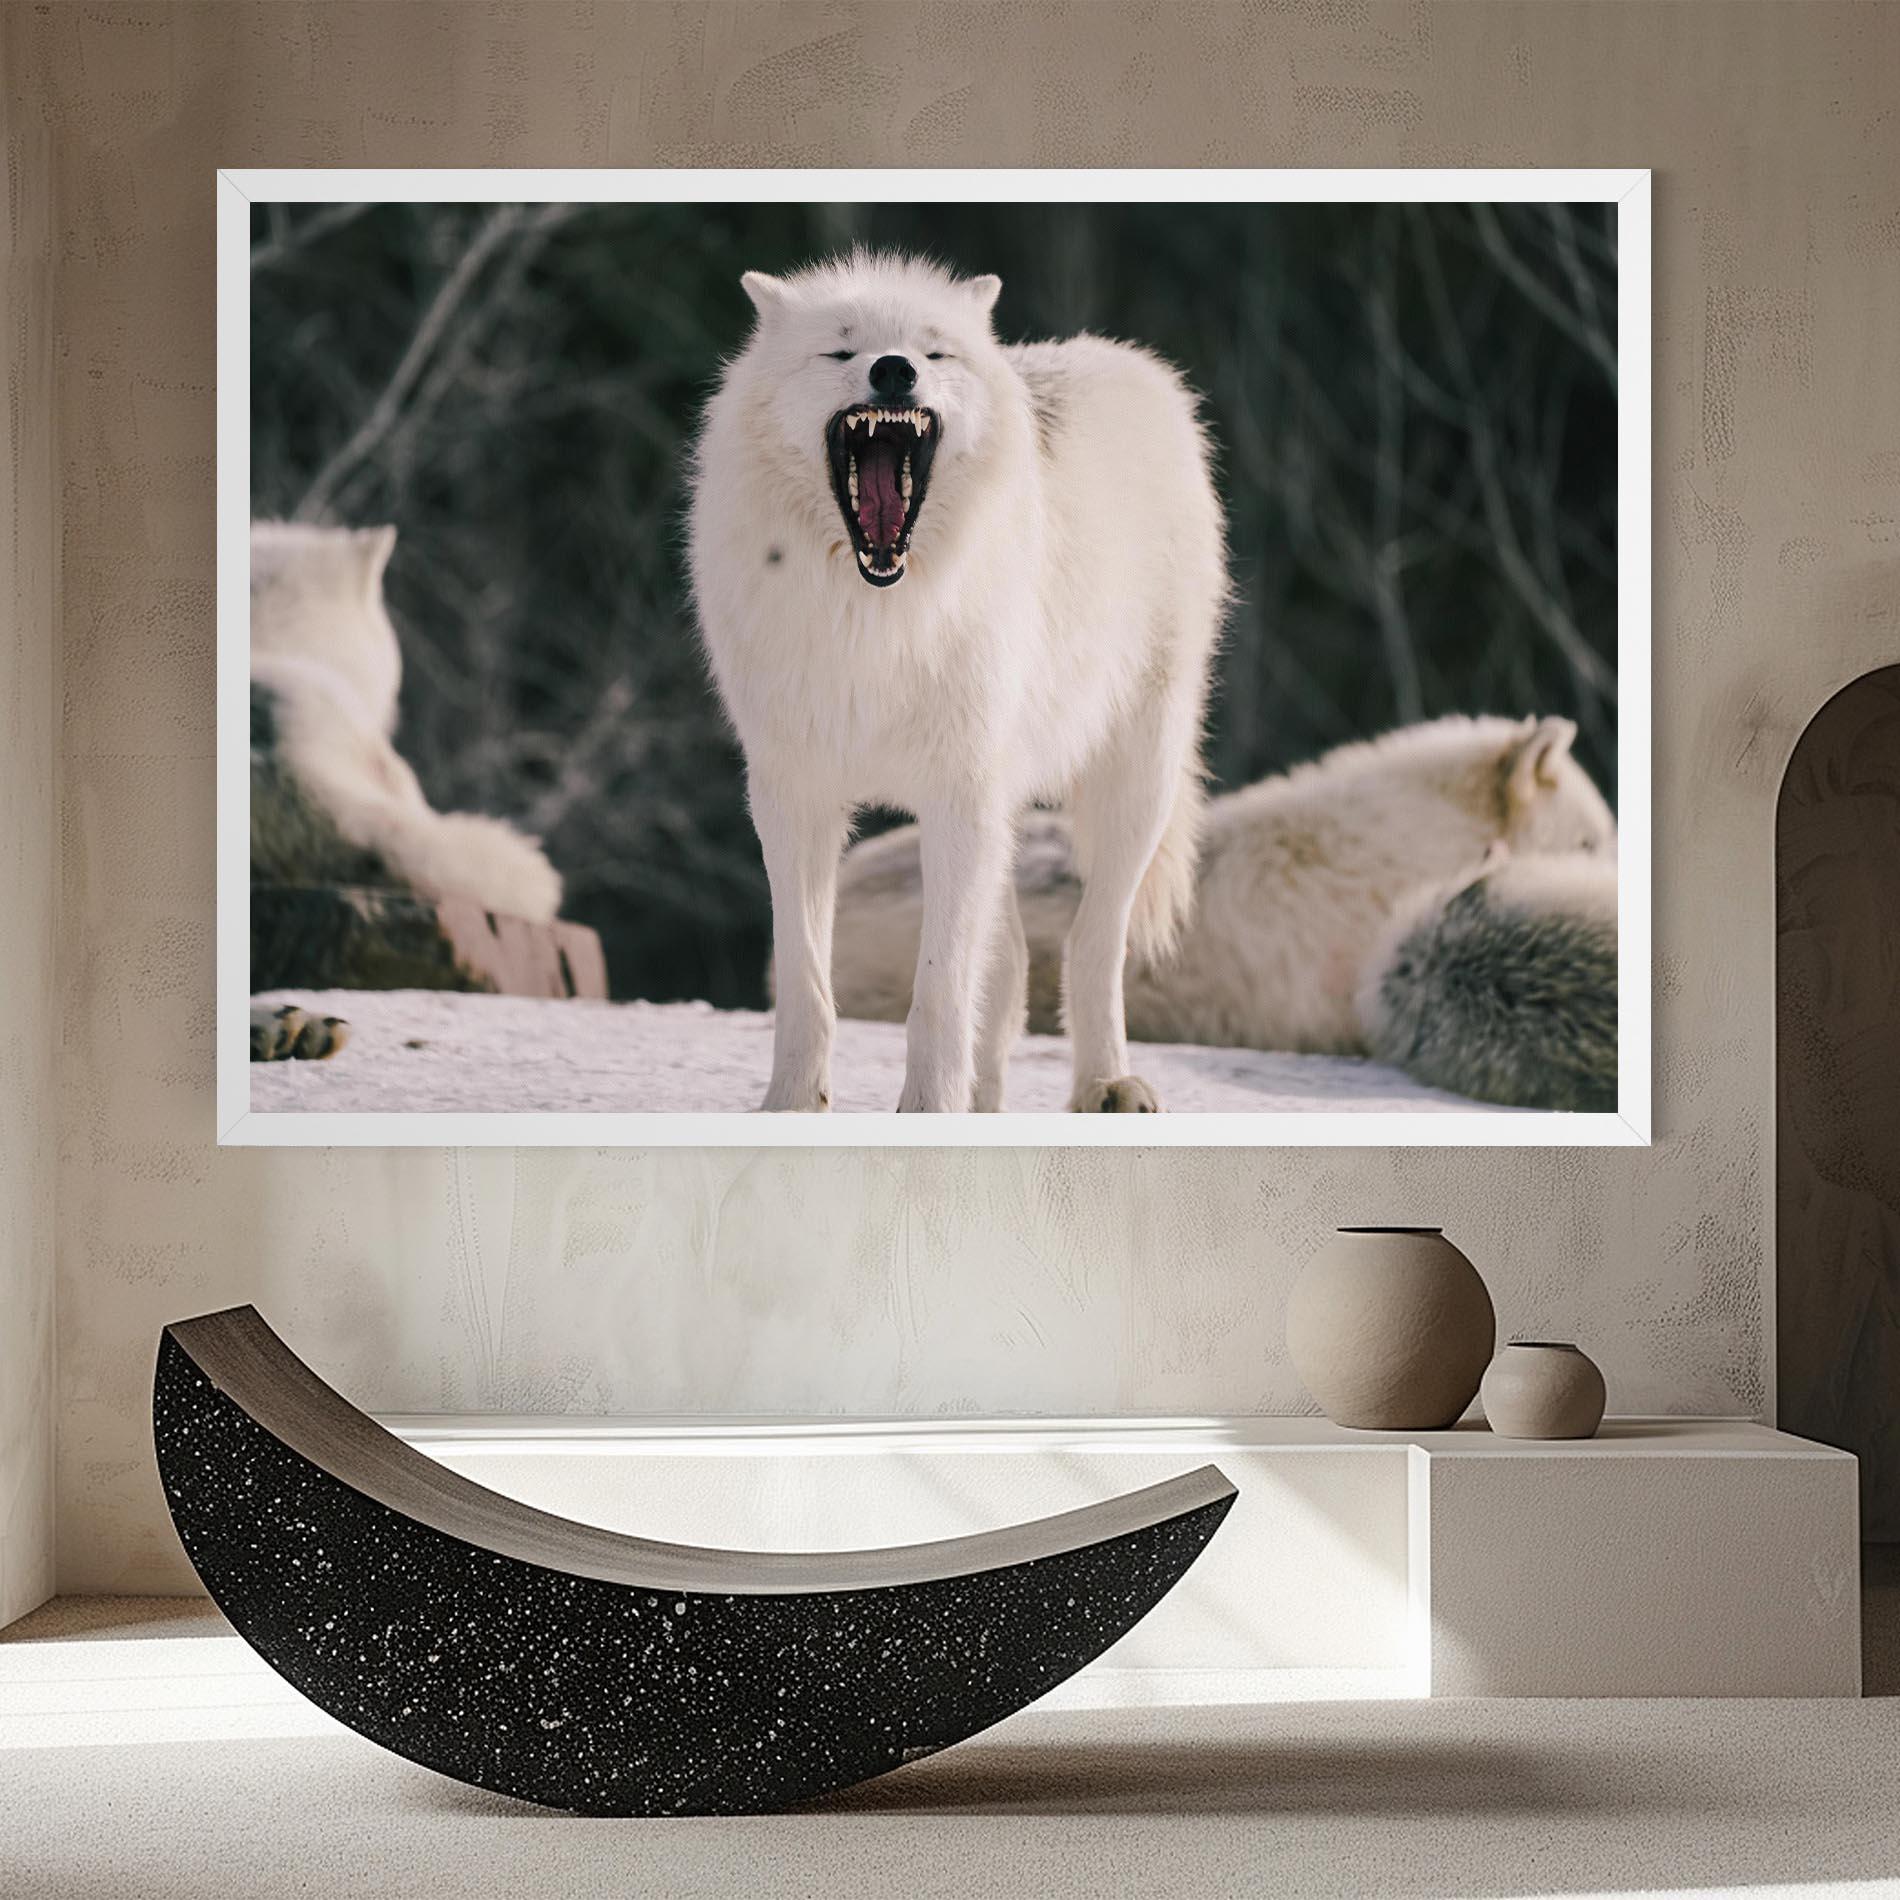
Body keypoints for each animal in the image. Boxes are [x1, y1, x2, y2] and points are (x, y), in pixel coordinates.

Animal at [689, 252, 1225, 1113]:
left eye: (933, 352)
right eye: (841, 350)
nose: (894, 370)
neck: (875, 617)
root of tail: (1129, 363)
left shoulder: (957, 795)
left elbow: (938, 989)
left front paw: (928, 1110)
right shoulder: (792, 796)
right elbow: (807, 982)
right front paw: (792, 1106)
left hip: (1133, 782)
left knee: (1092, 942)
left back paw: (1107, 1083)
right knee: (1008, 971)